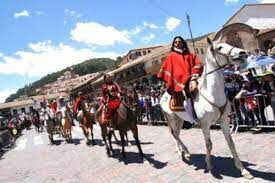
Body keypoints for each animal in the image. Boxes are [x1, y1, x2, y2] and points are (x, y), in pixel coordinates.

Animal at [162, 36, 254, 179]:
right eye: (219, 47)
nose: (242, 53)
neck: (212, 93)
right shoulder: (205, 124)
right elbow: (209, 144)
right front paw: (210, 166)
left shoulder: (224, 121)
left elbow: (231, 143)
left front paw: (243, 170)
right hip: (171, 118)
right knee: (174, 134)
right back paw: (185, 152)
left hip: (180, 119)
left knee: (176, 133)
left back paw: (182, 151)